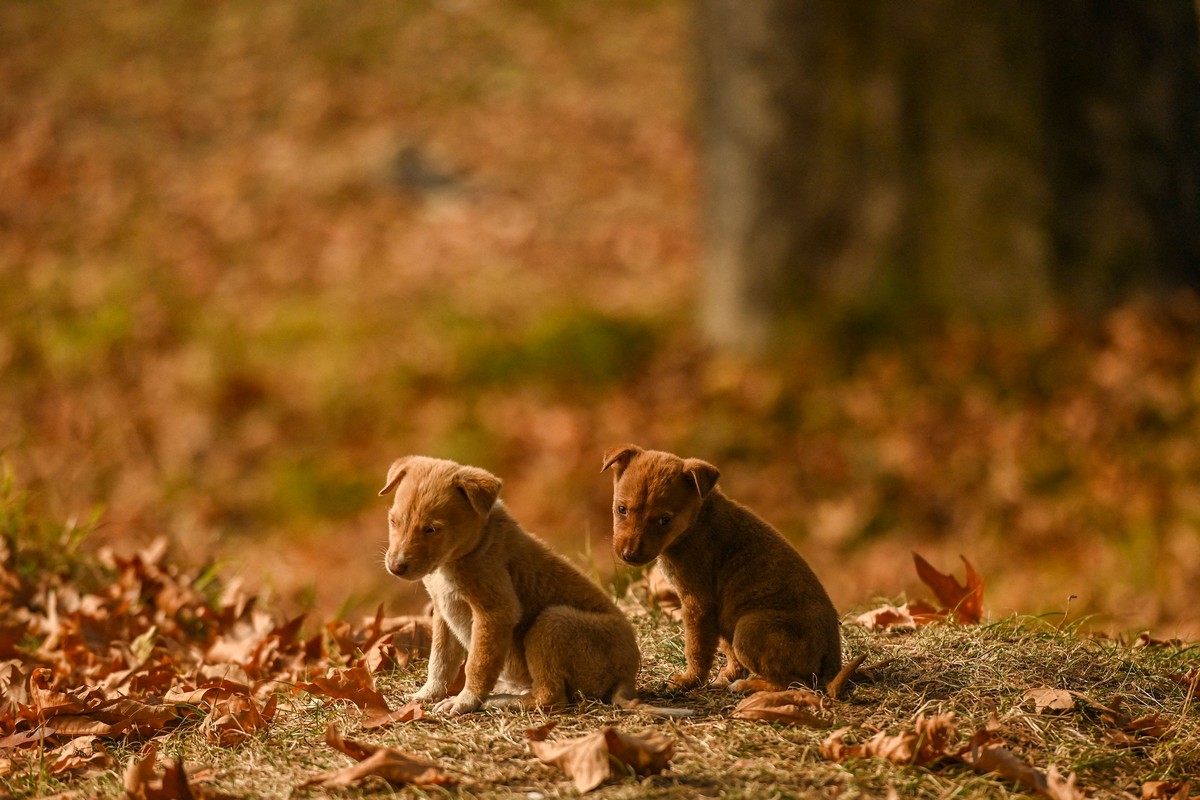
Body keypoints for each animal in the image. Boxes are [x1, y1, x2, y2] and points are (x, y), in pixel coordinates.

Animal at [384, 453, 648, 714]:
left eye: (431, 529)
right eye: (393, 521)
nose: (395, 567)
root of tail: (627, 678)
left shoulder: (496, 613)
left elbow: (477, 663)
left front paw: (464, 701)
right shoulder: (443, 611)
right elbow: (440, 661)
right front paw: (426, 694)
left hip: (553, 623)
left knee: (551, 696)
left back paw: (500, 700)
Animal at [600, 443, 844, 695]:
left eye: (664, 520)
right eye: (622, 509)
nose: (629, 555)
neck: (696, 521)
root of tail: (833, 661)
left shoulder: (698, 602)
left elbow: (696, 648)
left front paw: (689, 681)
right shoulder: (721, 609)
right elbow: (727, 649)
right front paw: (727, 675)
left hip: (749, 628)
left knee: (793, 683)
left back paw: (747, 685)